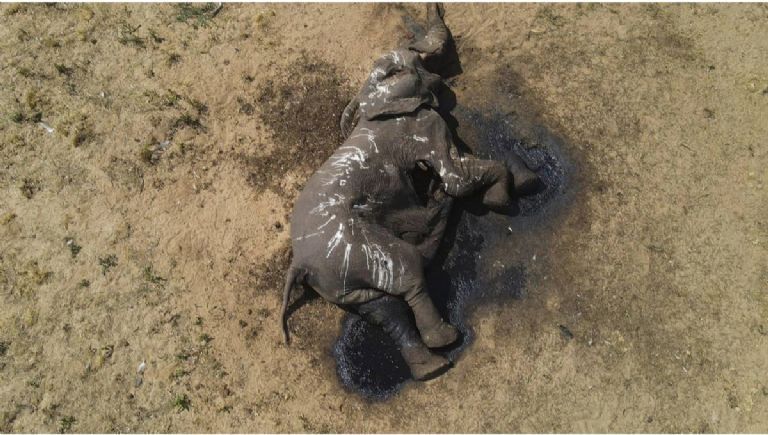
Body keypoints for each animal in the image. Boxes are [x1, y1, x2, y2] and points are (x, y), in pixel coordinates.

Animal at [281, 4, 542, 381]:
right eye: (408, 63)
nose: (436, 8)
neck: (369, 99)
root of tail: (299, 265)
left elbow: (463, 162)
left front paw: (524, 182)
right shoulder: (421, 126)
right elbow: (457, 176)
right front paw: (501, 199)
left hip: (338, 279)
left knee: (384, 308)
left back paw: (431, 367)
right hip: (355, 246)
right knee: (407, 269)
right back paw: (445, 341)